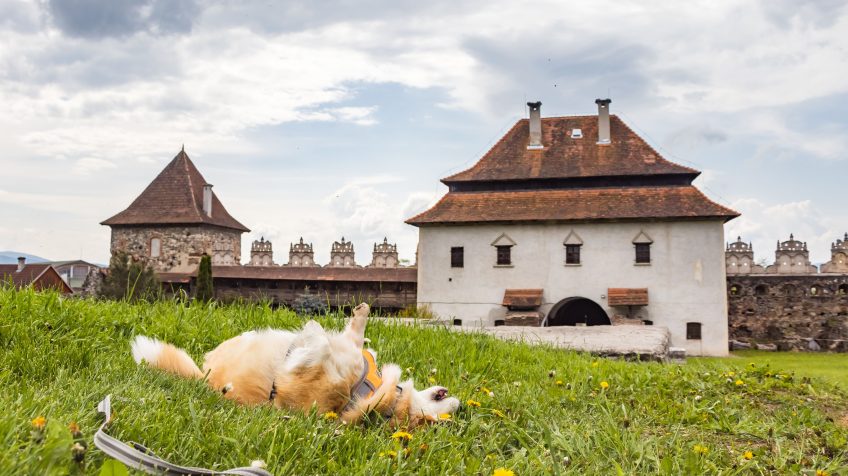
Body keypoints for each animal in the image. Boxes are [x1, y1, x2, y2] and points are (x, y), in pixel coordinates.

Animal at [130, 304, 460, 430]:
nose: (457, 402)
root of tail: (204, 378)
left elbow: (321, 344)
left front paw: (311, 330)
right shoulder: (354, 349)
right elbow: (356, 336)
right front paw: (359, 315)